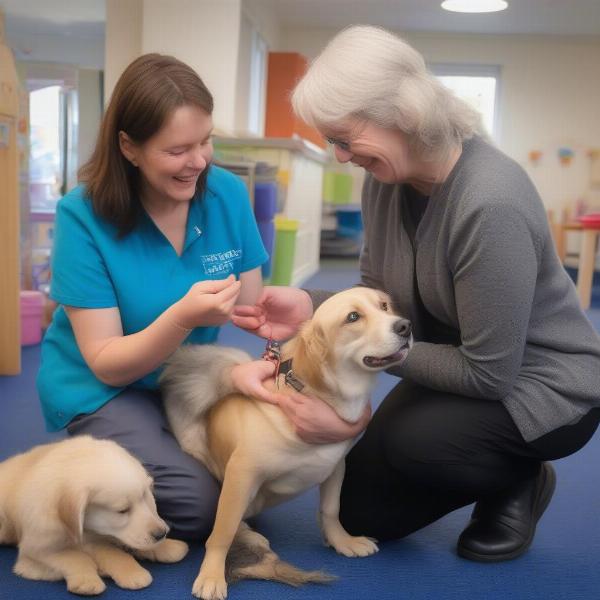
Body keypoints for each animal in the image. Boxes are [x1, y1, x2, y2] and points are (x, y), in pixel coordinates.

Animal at [0, 436, 188, 596]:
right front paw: (90, 580)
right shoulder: (34, 552)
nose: (161, 534)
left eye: (145, 497)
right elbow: (77, 557)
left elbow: (112, 546)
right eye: (122, 510)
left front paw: (167, 547)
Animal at [159, 288, 412, 600]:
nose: (405, 326)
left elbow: (331, 510)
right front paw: (211, 575)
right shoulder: (241, 476)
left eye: (384, 306)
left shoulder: (336, 467)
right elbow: (222, 531)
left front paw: (342, 541)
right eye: (353, 317)